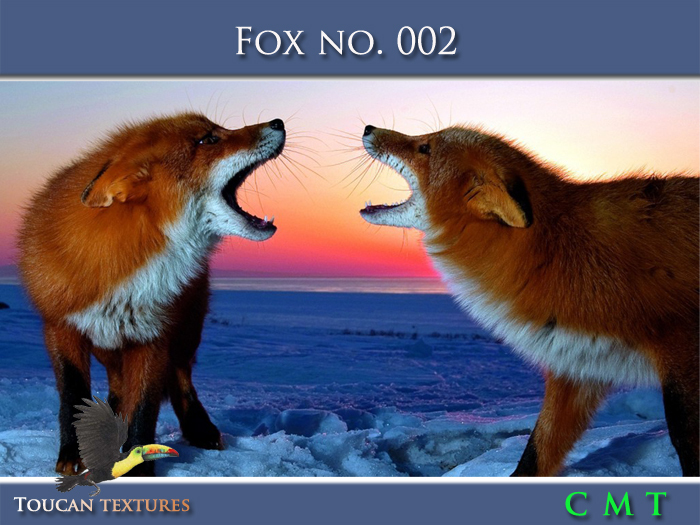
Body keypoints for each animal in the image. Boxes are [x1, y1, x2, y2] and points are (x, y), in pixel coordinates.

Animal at [18, 113, 285, 476]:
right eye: (208, 139)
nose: (278, 122)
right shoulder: (61, 327)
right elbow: (73, 395)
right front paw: (72, 455)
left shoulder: (154, 334)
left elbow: (144, 407)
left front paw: (138, 467)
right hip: (110, 346)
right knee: (119, 387)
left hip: (185, 334)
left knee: (181, 380)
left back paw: (199, 429)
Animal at [359, 124, 699, 477]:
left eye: (424, 147)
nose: (368, 128)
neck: (557, 254)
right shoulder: (578, 364)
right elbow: (537, 451)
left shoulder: (681, 347)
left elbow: (685, 438)